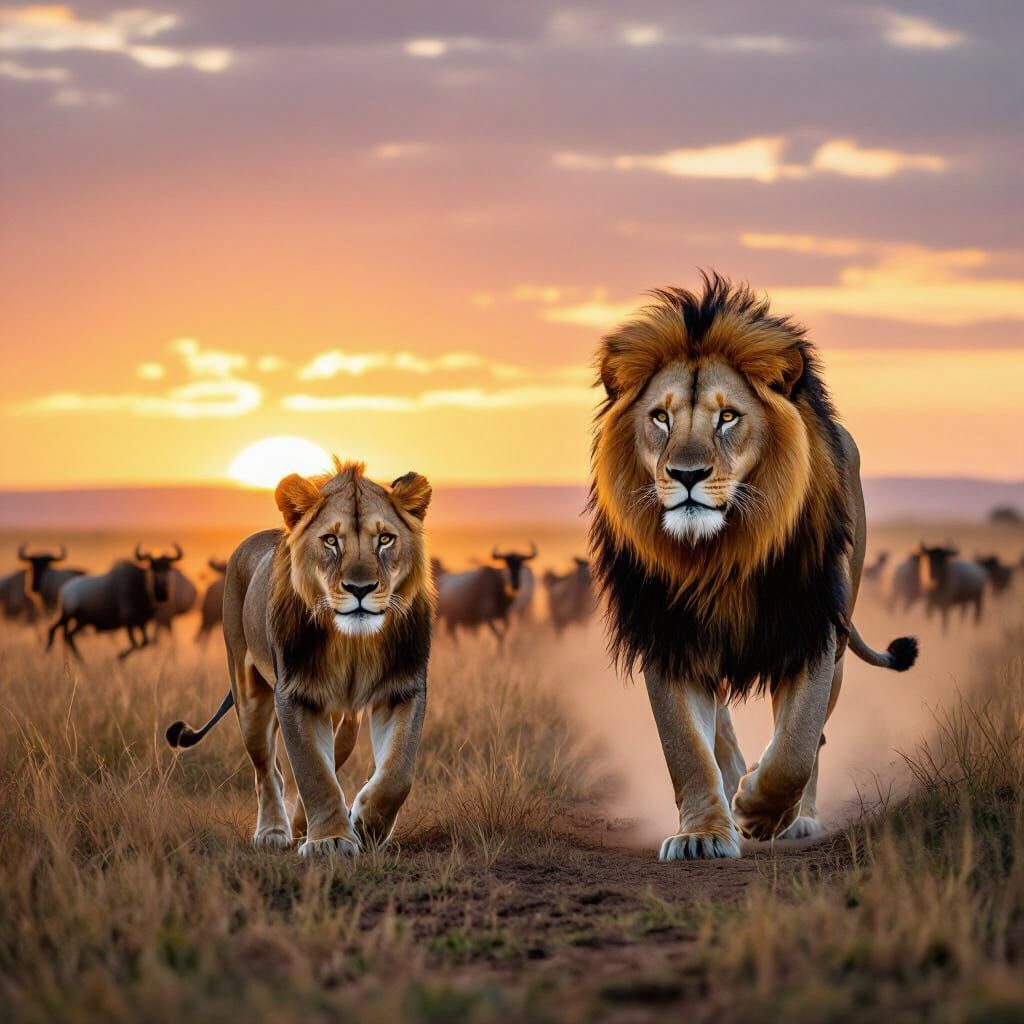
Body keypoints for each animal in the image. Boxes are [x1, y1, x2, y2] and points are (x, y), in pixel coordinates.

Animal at [165, 460, 434, 857]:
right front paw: (330, 841)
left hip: (344, 724)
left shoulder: (402, 689)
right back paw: (274, 831)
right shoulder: (295, 694)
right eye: (331, 541)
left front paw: (366, 825)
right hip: (250, 697)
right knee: (269, 771)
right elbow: (314, 774)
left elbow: (397, 772)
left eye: (385, 539)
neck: (352, 645)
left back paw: (301, 825)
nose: (360, 589)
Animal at [590, 273, 918, 859]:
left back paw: (795, 817)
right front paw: (703, 834)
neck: (720, 555)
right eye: (660, 418)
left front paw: (758, 813)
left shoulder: (812, 632)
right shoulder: (667, 636)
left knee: (815, 738)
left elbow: (796, 746)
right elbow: (686, 748)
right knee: (720, 727)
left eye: (727, 417)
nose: (687, 474)